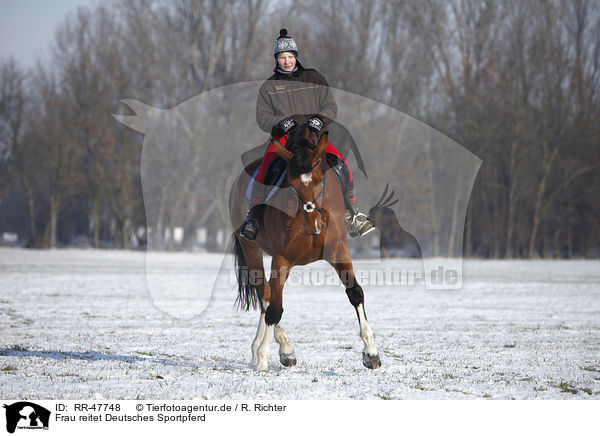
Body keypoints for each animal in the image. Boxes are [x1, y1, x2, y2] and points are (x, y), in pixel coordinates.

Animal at [229, 125, 380, 372]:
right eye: (292, 185)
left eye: (320, 180)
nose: (314, 225)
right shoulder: (281, 259)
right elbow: (275, 308)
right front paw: (264, 358)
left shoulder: (338, 251)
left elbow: (355, 293)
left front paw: (371, 353)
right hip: (251, 250)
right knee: (266, 296)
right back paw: (278, 349)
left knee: (267, 296)